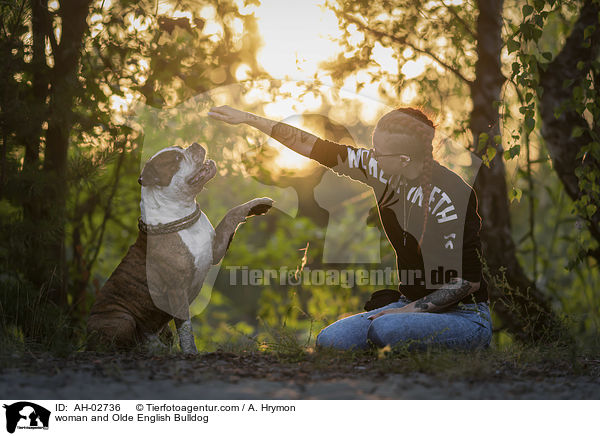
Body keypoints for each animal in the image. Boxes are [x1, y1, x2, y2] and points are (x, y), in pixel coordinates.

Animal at [85, 143, 274, 354]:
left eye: (179, 148)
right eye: (175, 159)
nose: (195, 145)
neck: (180, 217)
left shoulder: (215, 248)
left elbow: (231, 215)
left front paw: (257, 204)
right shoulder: (176, 290)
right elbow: (185, 326)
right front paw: (191, 352)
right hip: (120, 319)